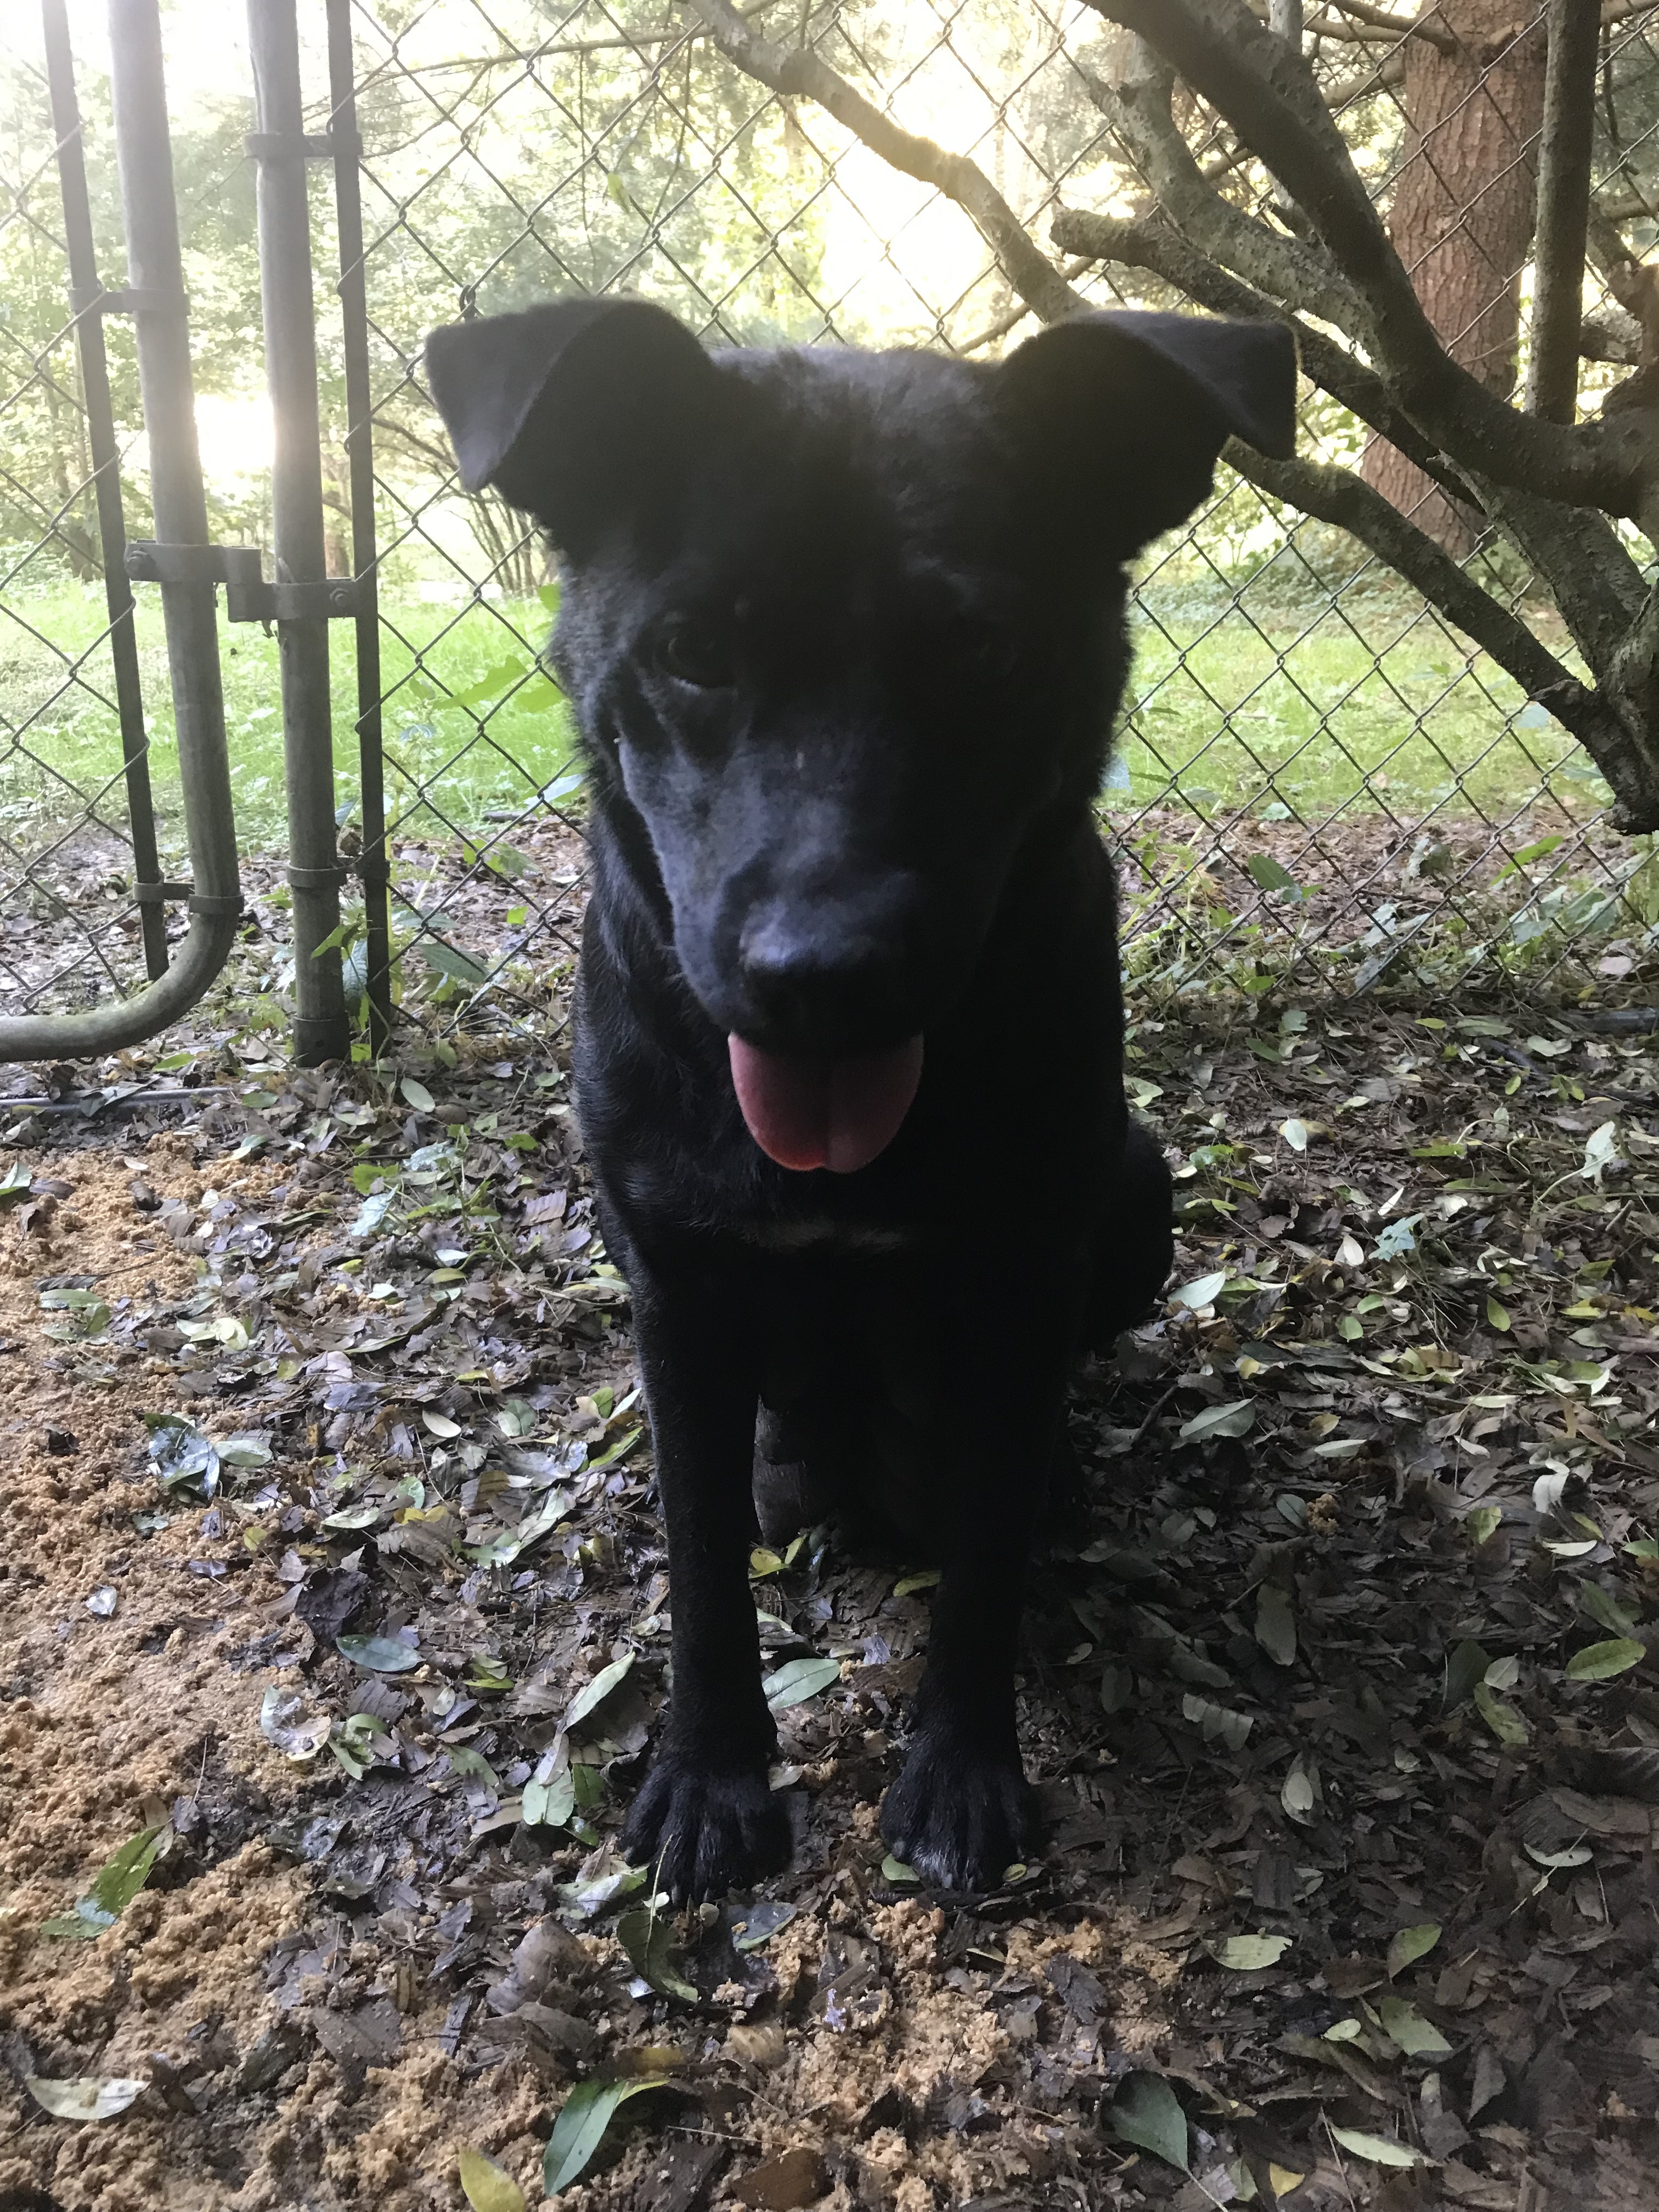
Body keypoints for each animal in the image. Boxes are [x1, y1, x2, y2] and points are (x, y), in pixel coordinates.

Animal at [425, 298, 1300, 1902]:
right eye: (694, 651)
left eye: (986, 653)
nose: (820, 975)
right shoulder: (679, 1302)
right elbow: (703, 1564)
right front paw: (712, 1778)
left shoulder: (1022, 1291)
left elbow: (985, 1567)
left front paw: (960, 1772)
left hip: (1134, 1178)